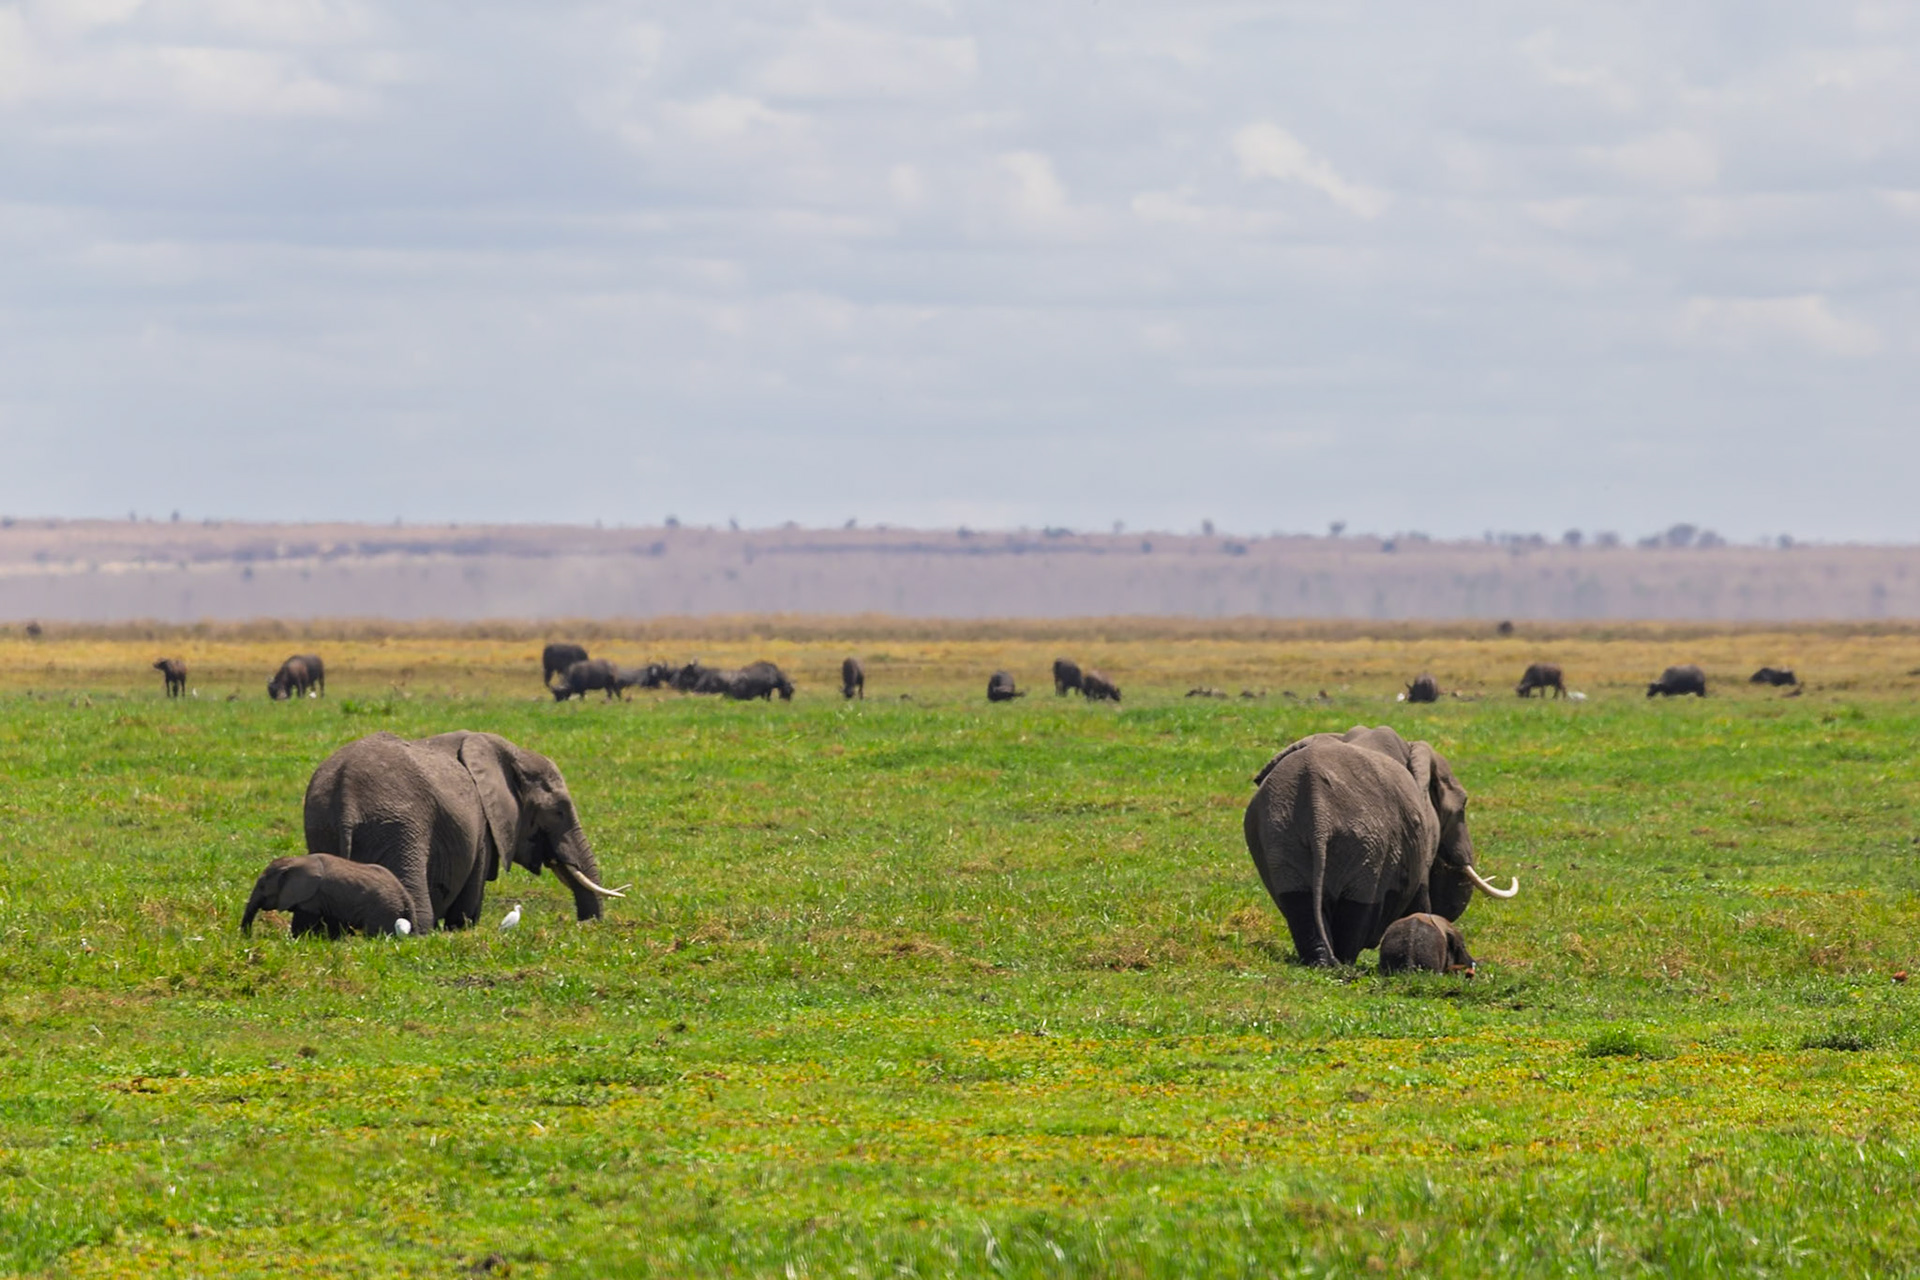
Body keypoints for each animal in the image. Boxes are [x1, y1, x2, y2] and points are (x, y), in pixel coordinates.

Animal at [242, 853, 413, 938]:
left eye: (262, 886)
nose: (248, 938)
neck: (294, 862)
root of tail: (405, 896)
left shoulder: (312, 897)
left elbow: (302, 923)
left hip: (382, 911)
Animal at [303, 731, 625, 929]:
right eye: (559, 811)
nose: (584, 925)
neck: (509, 751)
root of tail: (346, 797)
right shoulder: (481, 826)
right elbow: (469, 902)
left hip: (322, 825)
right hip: (397, 828)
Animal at [1243, 725, 1518, 967]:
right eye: (1462, 807)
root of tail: (1317, 808)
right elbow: (1419, 892)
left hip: (1281, 835)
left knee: (1298, 899)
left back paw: (1322, 962)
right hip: (1366, 842)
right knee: (1358, 904)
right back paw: (1342, 963)